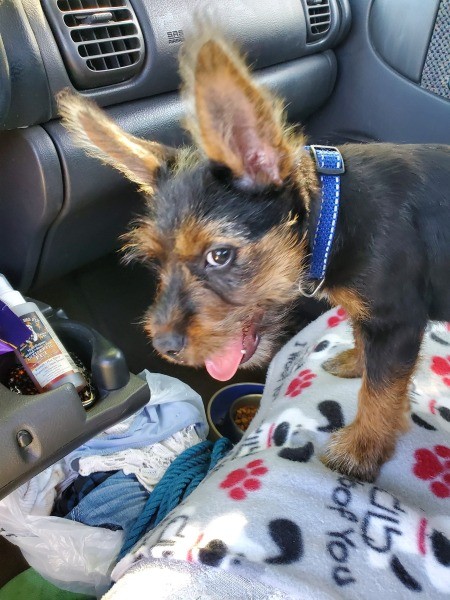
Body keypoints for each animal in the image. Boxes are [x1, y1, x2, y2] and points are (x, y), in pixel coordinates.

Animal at [58, 27, 450, 482]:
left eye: (219, 256)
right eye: (156, 261)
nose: (166, 345)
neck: (333, 214)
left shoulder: (397, 320)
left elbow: (381, 390)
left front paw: (361, 448)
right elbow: (363, 341)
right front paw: (357, 360)